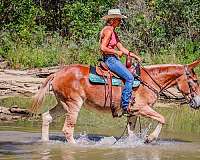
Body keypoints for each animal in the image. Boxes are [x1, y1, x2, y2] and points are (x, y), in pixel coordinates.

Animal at [30, 59, 200, 144]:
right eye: (195, 80)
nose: (197, 103)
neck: (149, 81)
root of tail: (57, 73)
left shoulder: (133, 113)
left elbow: (131, 134)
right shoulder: (142, 108)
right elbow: (162, 118)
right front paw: (150, 138)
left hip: (62, 104)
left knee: (46, 117)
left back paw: (45, 142)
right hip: (73, 105)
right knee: (67, 130)